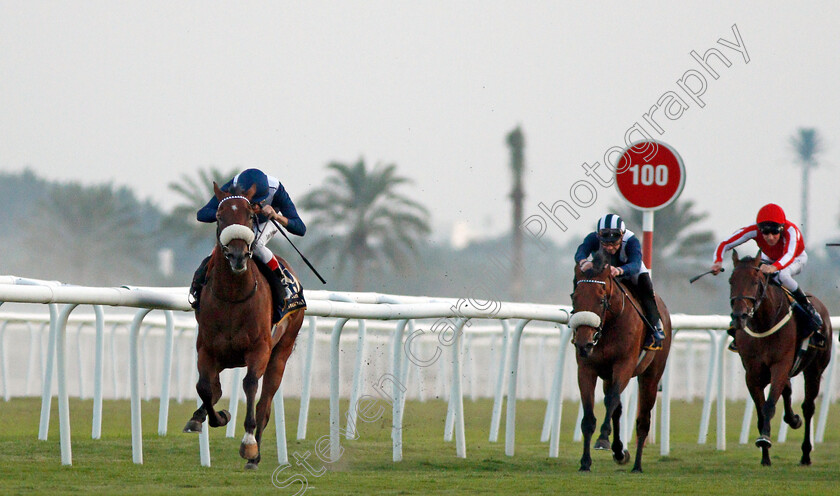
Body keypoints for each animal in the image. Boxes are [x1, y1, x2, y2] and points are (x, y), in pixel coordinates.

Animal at [182, 182, 306, 468]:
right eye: (219, 216)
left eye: (251, 215)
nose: (238, 255)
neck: (232, 296)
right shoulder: (207, 349)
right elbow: (205, 387)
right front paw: (214, 417)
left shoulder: (259, 349)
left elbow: (250, 384)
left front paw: (248, 443)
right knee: (214, 389)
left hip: (281, 351)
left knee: (264, 403)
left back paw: (255, 455)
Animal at [568, 252, 672, 472]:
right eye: (575, 297)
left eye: (601, 300)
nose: (583, 343)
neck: (609, 326)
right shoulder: (587, 368)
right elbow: (589, 415)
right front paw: (585, 462)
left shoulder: (624, 365)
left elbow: (612, 400)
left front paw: (602, 438)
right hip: (608, 375)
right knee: (617, 409)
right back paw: (619, 451)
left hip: (651, 374)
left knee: (643, 419)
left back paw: (637, 465)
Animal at [728, 252, 832, 464]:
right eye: (731, 281)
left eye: (755, 282)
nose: (739, 316)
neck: (764, 324)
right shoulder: (752, 373)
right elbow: (761, 412)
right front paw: (765, 457)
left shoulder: (780, 365)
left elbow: (769, 405)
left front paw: (765, 440)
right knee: (788, 390)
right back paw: (793, 420)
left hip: (815, 370)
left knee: (808, 407)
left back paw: (806, 454)